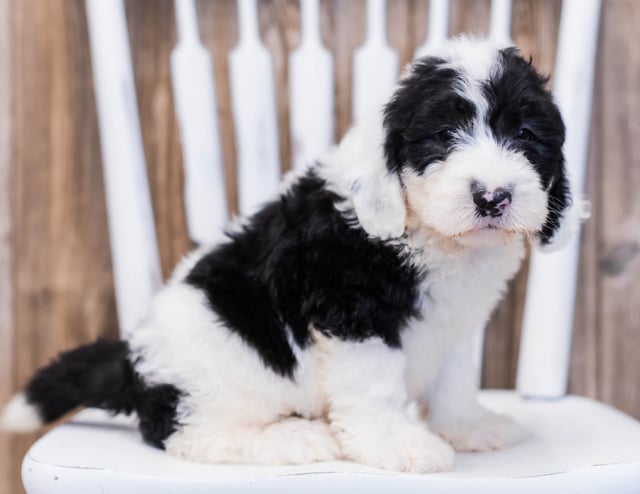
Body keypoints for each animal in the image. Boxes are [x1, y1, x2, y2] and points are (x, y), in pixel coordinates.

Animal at [1, 37, 584, 470]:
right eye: (442, 136)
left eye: (526, 135)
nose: (492, 196)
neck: (433, 236)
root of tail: (131, 362)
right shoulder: (350, 308)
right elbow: (374, 383)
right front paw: (399, 444)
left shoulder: (455, 319)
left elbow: (455, 376)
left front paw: (469, 425)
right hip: (212, 380)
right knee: (189, 433)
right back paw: (291, 439)